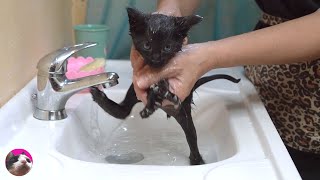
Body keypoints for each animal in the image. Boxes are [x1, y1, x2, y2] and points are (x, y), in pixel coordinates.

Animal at [90, 7, 240, 165]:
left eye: (167, 47)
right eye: (147, 45)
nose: (156, 57)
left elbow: (161, 88)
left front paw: (159, 95)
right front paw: (153, 99)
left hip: (184, 113)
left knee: (192, 137)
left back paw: (196, 160)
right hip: (134, 91)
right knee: (124, 110)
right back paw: (100, 97)